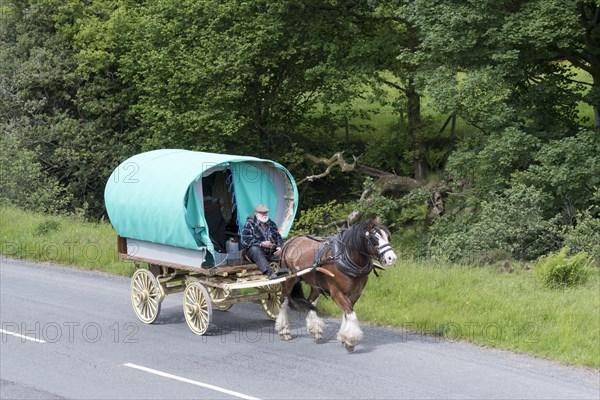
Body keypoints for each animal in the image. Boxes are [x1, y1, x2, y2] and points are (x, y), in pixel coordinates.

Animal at [274, 217, 396, 352]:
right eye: (375, 239)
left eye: (388, 237)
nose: (392, 258)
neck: (346, 259)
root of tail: (290, 241)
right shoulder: (336, 293)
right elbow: (351, 314)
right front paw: (350, 341)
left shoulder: (355, 294)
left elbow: (346, 313)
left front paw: (344, 337)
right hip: (288, 280)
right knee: (283, 301)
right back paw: (284, 330)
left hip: (315, 284)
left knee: (310, 302)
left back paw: (316, 330)